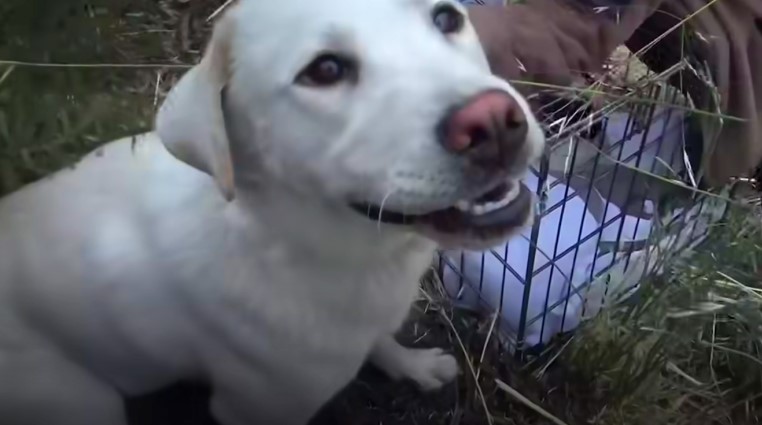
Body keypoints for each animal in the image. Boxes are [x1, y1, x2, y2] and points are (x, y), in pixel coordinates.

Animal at [2, 0, 544, 424]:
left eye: (447, 17)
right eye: (325, 70)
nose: (494, 122)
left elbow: (381, 341)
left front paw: (413, 366)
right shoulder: (253, 409)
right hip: (84, 399)